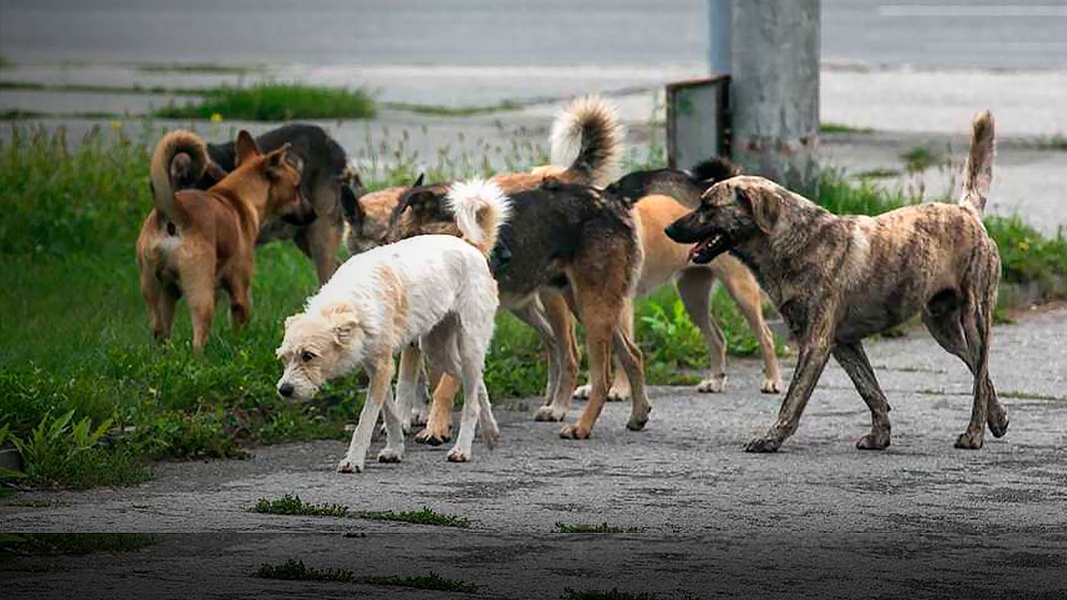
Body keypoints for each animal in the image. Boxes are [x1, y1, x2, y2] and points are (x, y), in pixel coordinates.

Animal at [135, 128, 307, 348]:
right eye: (297, 187)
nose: (313, 213)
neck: (237, 196)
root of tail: (173, 213)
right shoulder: (240, 292)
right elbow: (240, 325)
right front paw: (239, 346)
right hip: (200, 294)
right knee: (198, 337)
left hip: (157, 292)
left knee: (160, 331)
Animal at [275, 177, 507, 471]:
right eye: (284, 358)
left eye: (308, 356)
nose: (284, 390)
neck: (350, 301)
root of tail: (470, 246)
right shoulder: (377, 368)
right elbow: (391, 413)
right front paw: (395, 449)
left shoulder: (383, 368)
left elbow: (366, 419)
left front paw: (353, 459)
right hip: (438, 350)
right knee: (476, 385)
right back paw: (490, 431)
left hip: (467, 343)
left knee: (471, 399)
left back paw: (462, 449)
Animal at [665, 111, 1007, 448]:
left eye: (708, 206)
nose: (668, 229)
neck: (794, 239)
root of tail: (967, 212)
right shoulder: (844, 343)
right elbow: (870, 390)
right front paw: (880, 435)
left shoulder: (815, 344)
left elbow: (793, 399)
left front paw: (772, 437)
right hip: (942, 327)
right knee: (981, 372)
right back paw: (997, 417)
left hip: (974, 318)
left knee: (980, 374)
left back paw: (974, 434)